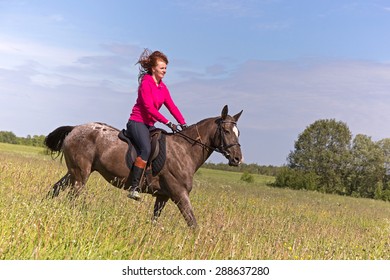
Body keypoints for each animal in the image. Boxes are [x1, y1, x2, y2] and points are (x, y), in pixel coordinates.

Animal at [44, 105, 242, 228]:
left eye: (238, 132)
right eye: (226, 131)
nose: (238, 159)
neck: (184, 150)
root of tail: (75, 128)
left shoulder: (163, 196)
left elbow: (155, 220)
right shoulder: (179, 194)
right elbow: (193, 223)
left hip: (73, 172)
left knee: (56, 188)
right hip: (80, 175)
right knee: (71, 197)